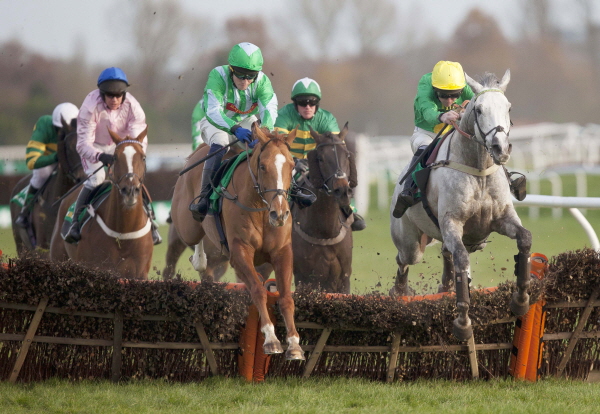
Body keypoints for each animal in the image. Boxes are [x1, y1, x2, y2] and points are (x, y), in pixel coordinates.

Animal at [50, 128, 154, 280]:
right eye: (115, 157)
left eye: (144, 157)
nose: (130, 190)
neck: (124, 232)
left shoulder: (140, 274)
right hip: (58, 256)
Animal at [170, 125, 304, 360]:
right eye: (263, 166)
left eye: (291, 165)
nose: (280, 213)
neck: (262, 209)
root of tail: (198, 151)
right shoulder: (240, 251)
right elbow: (258, 290)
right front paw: (271, 339)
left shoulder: (282, 252)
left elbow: (287, 297)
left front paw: (294, 344)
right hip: (187, 224)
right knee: (193, 236)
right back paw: (199, 259)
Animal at [392, 70, 532, 340]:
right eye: (478, 109)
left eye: (508, 108)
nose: (500, 148)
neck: (478, 170)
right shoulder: (452, 223)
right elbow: (462, 261)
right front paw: (463, 322)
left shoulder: (503, 219)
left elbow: (525, 239)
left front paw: (520, 300)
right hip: (410, 242)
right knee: (404, 260)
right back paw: (400, 291)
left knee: (446, 254)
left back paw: (442, 285)